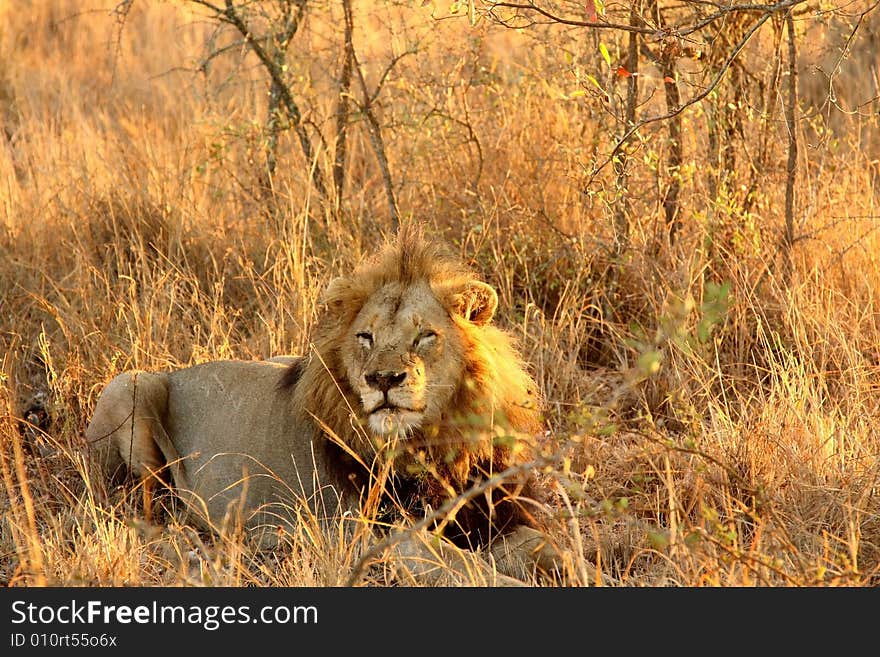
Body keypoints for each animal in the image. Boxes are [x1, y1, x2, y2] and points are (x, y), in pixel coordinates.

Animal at [86, 227, 560, 584]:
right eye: (365, 337)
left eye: (425, 335)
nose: (383, 379)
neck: (438, 440)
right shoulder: (377, 534)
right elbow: (467, 567)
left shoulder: (494, 514)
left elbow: (551, 546)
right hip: (129, 386)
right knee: (147, 513)